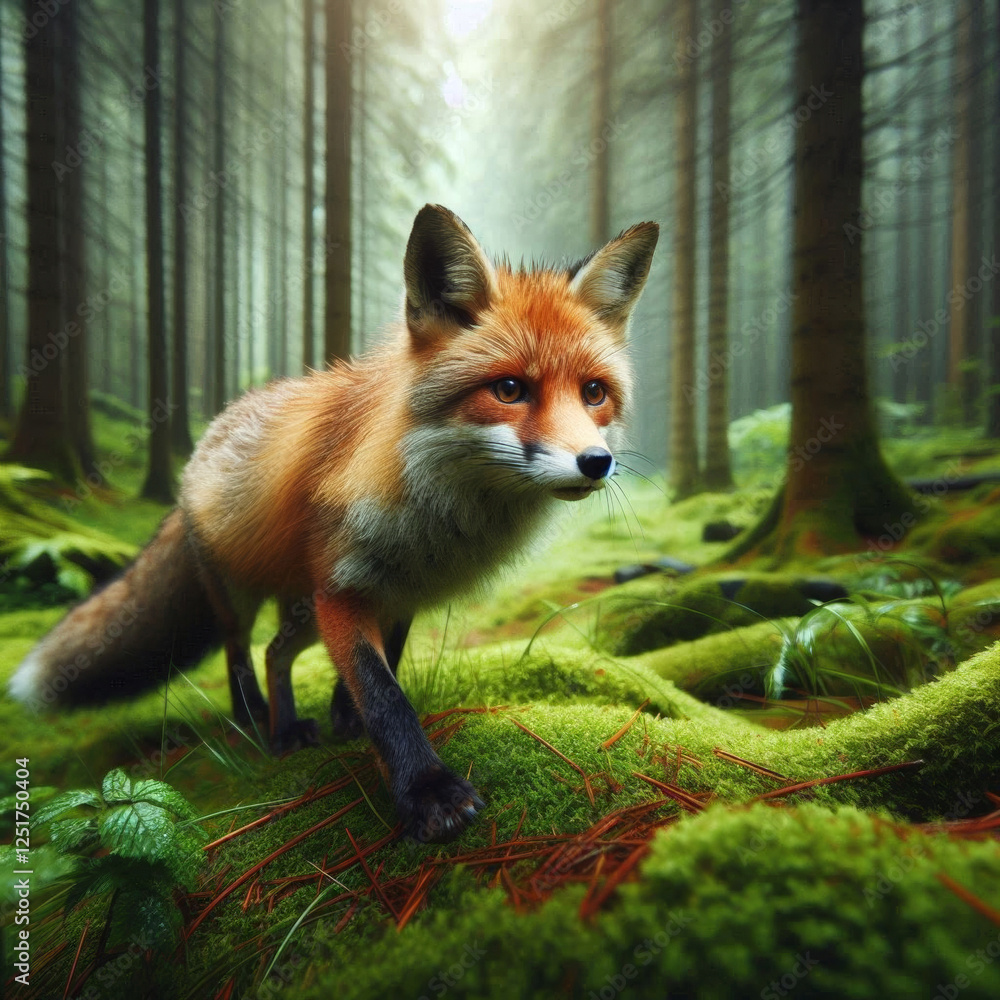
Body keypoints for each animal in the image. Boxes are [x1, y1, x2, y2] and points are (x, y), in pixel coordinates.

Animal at [9, 204, 658, 842]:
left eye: (594, 393)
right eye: (509, 389)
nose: (596, 462)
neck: (441, 515)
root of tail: (211, 433)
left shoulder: (400, 592)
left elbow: (377, 673)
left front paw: (348, 720)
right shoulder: (344, 589)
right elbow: (384, 694)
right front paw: (427, 793)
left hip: (302, 606)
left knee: (276, 652)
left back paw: (290, 723)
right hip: (246, 593)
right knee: (240, 649)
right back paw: (259, 725)